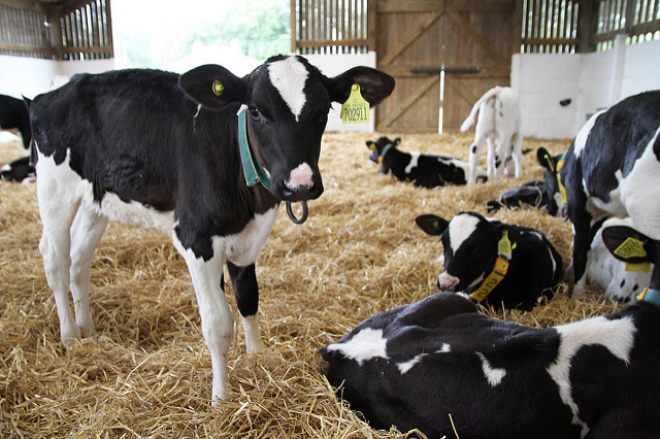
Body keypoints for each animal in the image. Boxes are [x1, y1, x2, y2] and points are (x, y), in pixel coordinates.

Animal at [28, 56, 394, 404]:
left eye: (324, 110)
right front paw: (221, 397)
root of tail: (55, 91)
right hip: (54, 190)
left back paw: (87, 328)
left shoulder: (247, 240)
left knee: (79, 261)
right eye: (257, 111)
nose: (299, 184)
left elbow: (249, 299)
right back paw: (69, 336)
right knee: (55, 261)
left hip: (95, 200)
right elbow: (218, 324)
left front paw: (257, 357)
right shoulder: (197, 239)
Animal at [540, 93, 660, 300]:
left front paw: (577, 295)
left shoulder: (579, 204)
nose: (550, 209)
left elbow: (581, 252)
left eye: (546, 179)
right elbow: (587, 247)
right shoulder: (598, 211)